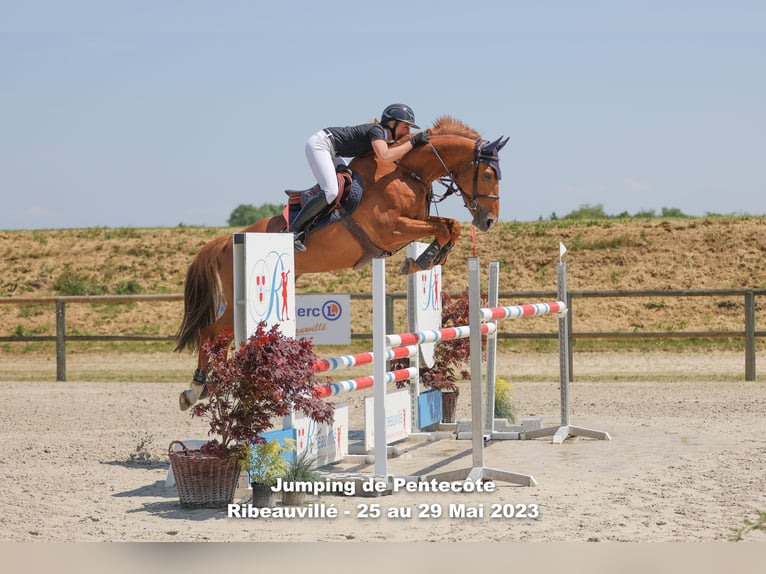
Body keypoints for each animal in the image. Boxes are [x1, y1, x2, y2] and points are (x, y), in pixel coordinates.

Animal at [175, 117, 510, 412]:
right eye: (488, 175)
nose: (489, 221)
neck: (407, 171)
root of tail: (225, 241)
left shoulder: (413, 223)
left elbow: (449, 226)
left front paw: (426, 259)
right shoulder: (391, 229)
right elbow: (443, 228)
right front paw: (423, 259)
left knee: (221, 338)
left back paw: (212, 386)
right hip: (237, 299)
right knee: (211, 333)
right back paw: (195, 388)